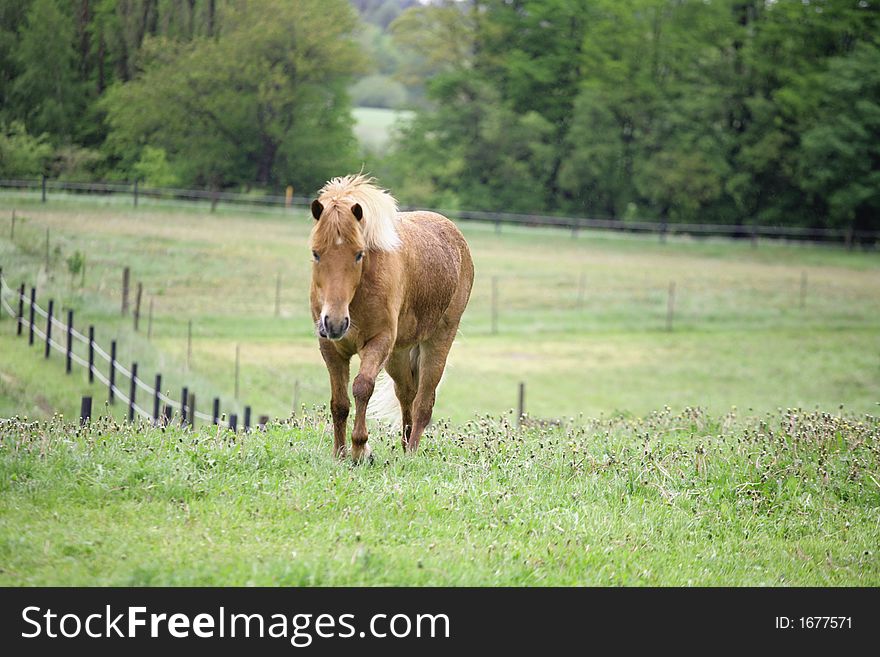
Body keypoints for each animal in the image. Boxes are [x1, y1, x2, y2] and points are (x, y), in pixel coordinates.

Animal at [310, 174, 474, 462]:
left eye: (359, 254)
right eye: (316, 253)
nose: (335, 322)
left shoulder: (378, 342)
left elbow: (362, 387)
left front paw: (360, 449)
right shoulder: (330, 347)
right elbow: (339, 403)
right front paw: (339, 453)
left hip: (438, 342)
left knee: (423, 402)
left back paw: (412, 453)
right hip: (398, 354)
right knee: (406, 394)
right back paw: (405, 445)